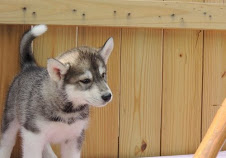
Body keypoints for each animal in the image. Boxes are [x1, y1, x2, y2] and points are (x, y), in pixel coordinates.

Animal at [0, 25, 113, 158]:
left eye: (103, 75)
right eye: (85, 80)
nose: (108, 96)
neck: (67, 112)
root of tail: (30, 66)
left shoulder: (75, 138)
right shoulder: (33, 135)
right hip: (10, 120)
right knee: (6, 143)